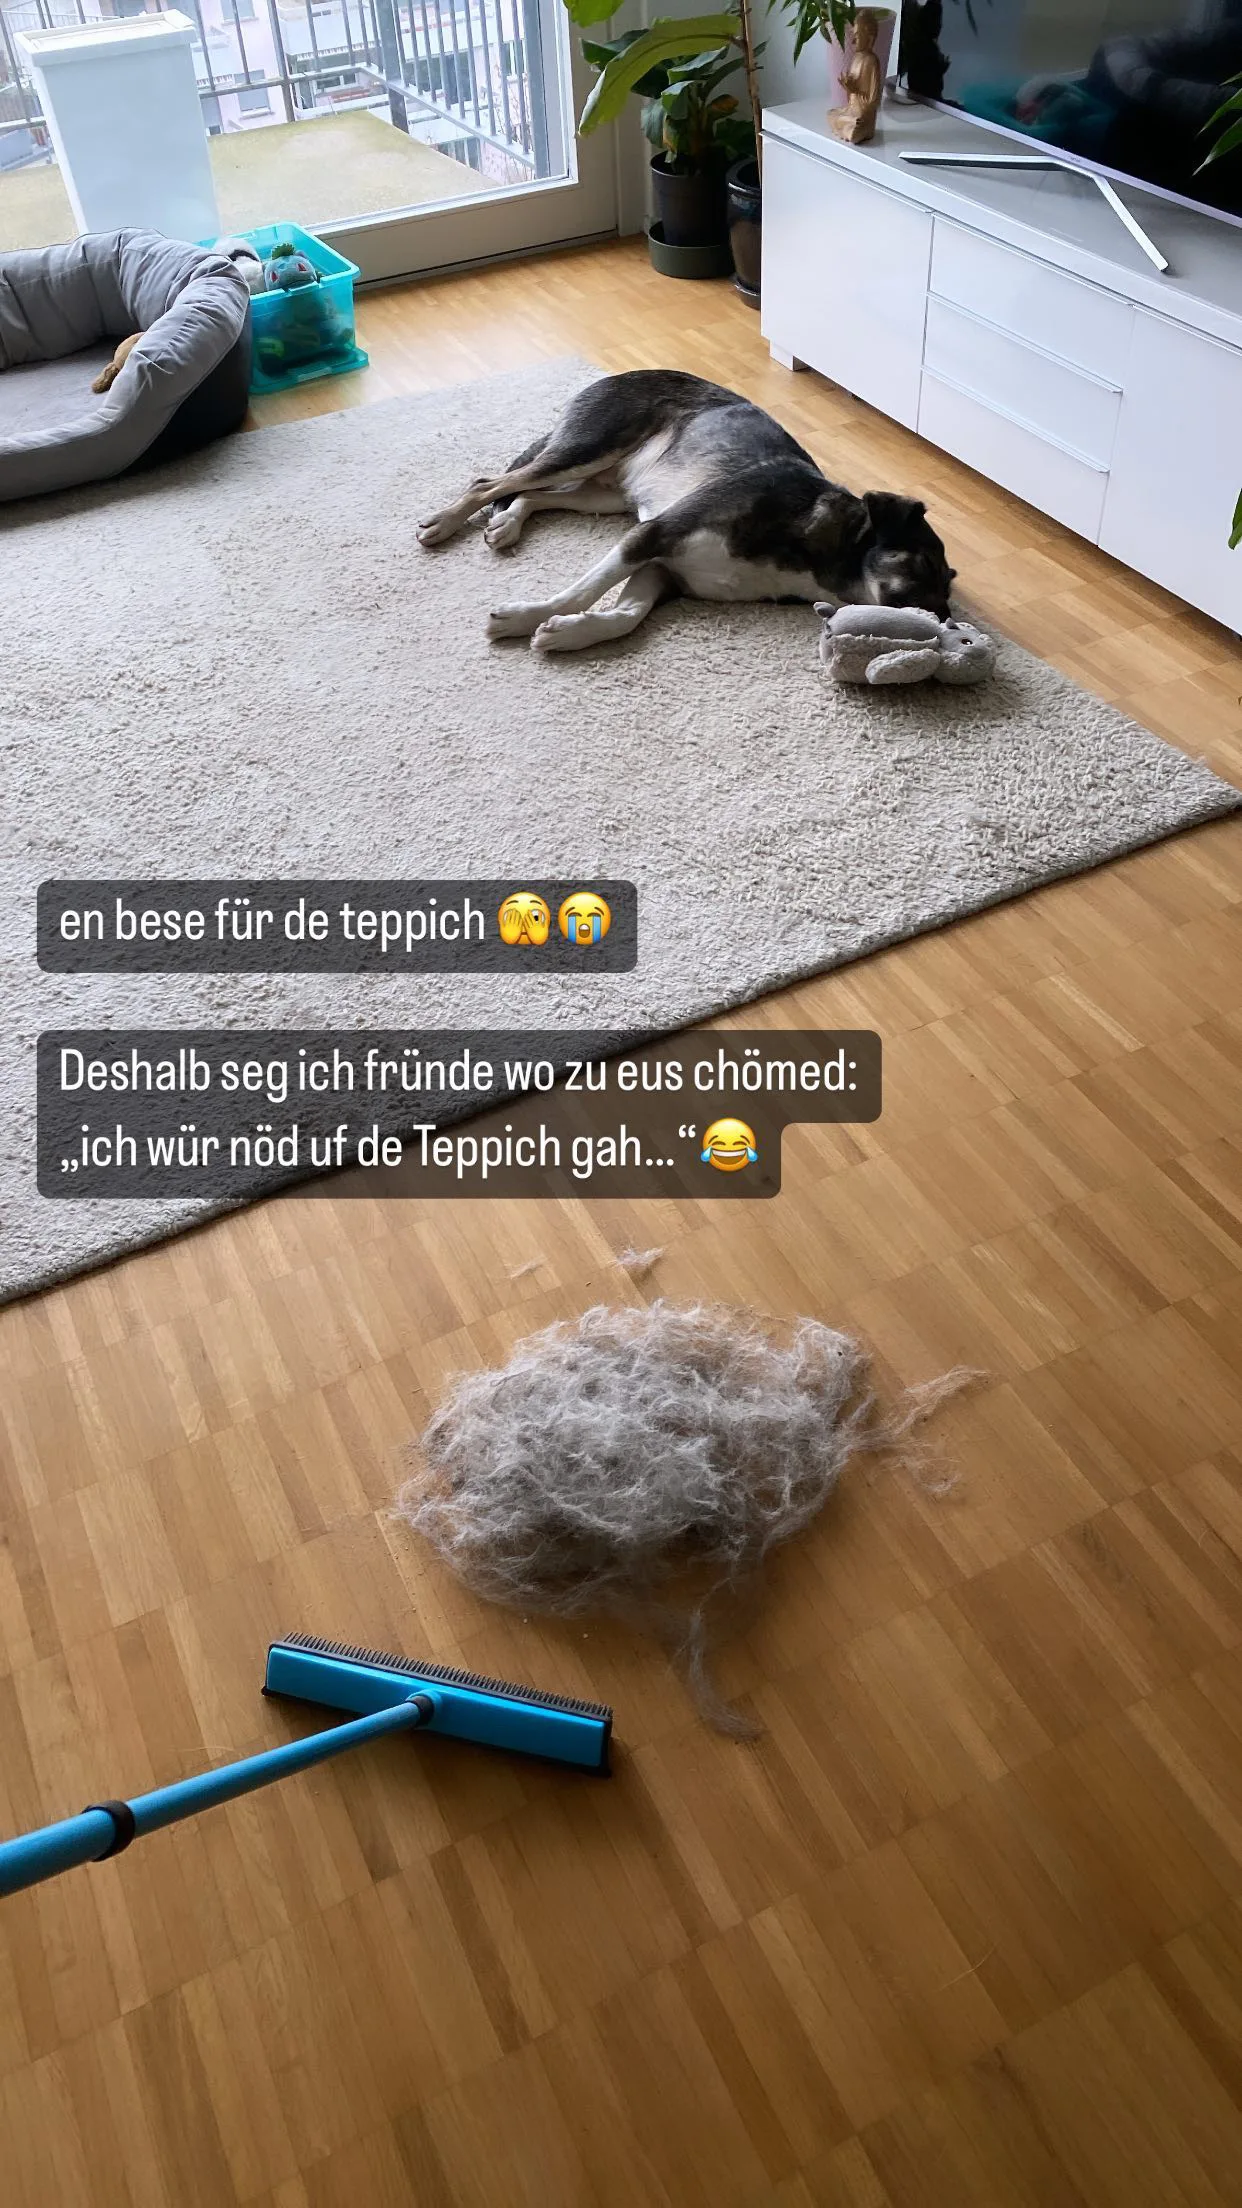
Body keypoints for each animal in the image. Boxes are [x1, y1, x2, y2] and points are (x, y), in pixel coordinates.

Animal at [416, 369, 956, 653]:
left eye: (949, 586)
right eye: (924, 564)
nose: (949, 626)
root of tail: (616, 375)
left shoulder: (665, 567)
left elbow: (627, 615)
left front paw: (566, 634)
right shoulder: (654, 535)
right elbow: (582, 590)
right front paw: (521, 618)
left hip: (610, 495)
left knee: (538, 495)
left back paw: (507, 524)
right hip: (590, 447)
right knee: (492, 483)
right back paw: (442, 523)